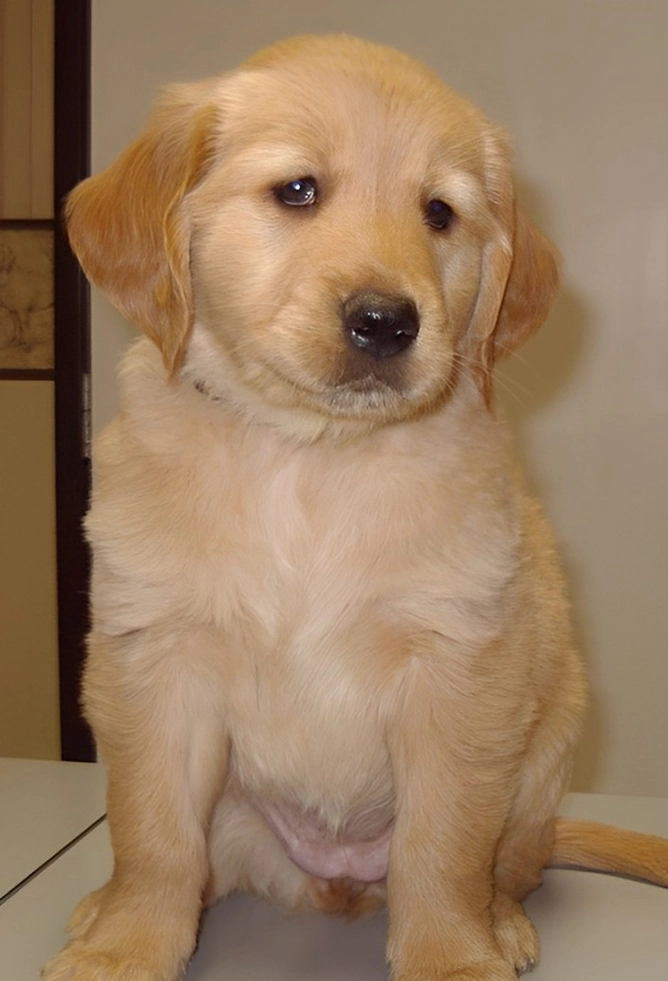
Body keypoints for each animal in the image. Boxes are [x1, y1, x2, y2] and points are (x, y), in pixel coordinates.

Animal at [44, 32, 664, 980]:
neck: (311, 458)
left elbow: (441, 846)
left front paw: (452, 956)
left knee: (509, 862)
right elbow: (150, 833)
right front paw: (125, 947)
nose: (386, 321)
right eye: (297, 190)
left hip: (547, 745)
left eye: (439, 213)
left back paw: (504, 923)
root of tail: (333, 880)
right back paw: (101, 907)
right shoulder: (155, 662)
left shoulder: (459, 668)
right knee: (193, 861)